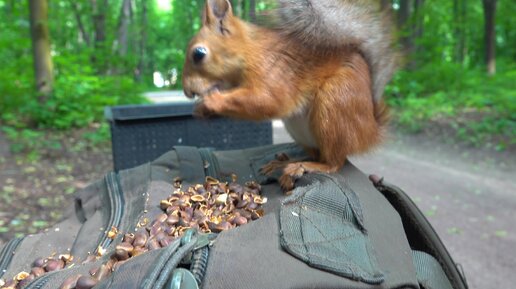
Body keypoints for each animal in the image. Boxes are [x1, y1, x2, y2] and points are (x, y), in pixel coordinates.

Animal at [183, 0, 398, 191]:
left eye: (199, 54)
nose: (187, 91)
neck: (248, 50)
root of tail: (370, 130)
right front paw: (201, 110)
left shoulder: (274, 73)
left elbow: (266, 101)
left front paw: (211, 102)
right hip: (301, 128)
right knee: (317, 154)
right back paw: (284, 163)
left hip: (334, 108)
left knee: (334, 162)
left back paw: (303, 167)